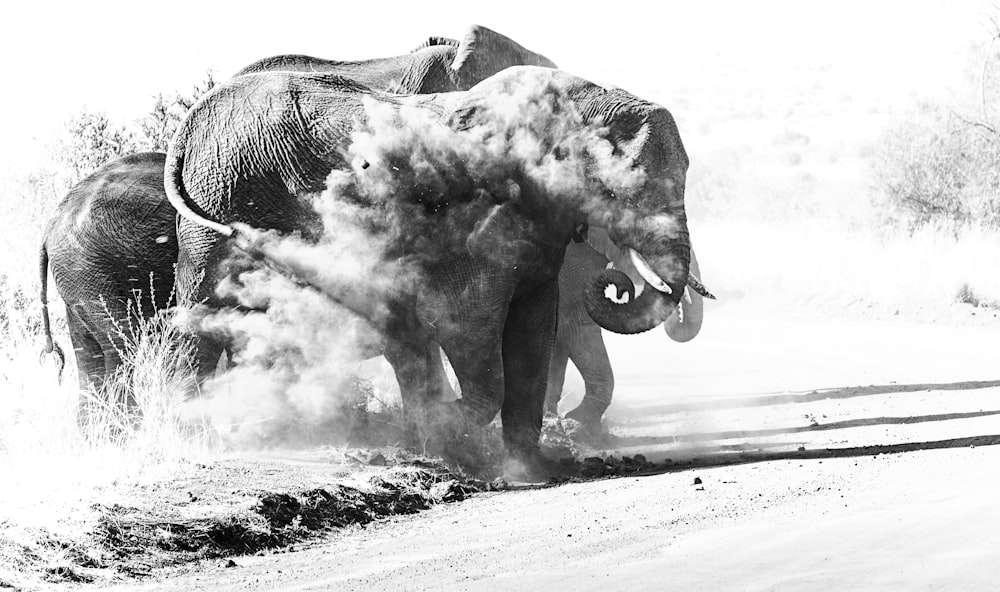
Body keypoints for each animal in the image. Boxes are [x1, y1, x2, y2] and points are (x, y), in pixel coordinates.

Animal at [164, 66, 708, 472]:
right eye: (619, 189)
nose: (618, 284)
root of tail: (190, 126)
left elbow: (534, 329)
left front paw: (529, 466)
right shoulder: (475, 220)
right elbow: (469, 325)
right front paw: (446, 432)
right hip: (221, 206)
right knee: (202, 321)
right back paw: (199, 432)